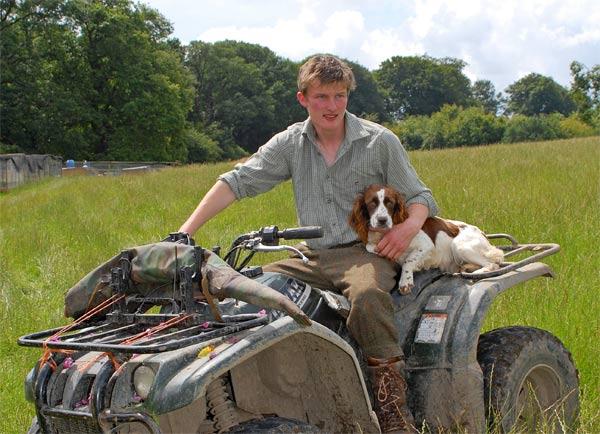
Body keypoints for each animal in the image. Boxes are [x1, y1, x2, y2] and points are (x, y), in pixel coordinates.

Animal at [350, 183, 504, 294]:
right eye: (372, 203)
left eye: (390, 203)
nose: (382, 220)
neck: (384, 233)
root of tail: (483, 234)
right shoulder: (372, 243)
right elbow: (371, 247)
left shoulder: (426, 245)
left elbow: (408, 260)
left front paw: (405, 281)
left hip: (459, 245)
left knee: (493, 264)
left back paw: (473, 274)